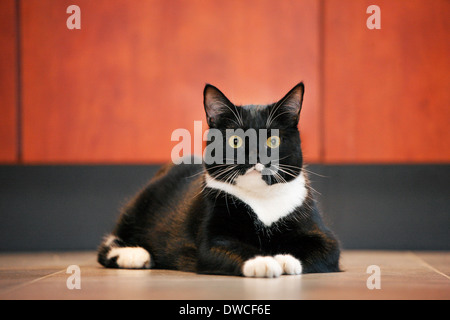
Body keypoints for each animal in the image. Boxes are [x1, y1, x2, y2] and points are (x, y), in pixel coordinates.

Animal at [96, 83, 340, 278]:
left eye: (272, 140)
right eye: (235, 140)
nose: (255, 157)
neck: (261, 199)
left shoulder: (322, 234)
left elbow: (326, 248)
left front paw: (284, 258)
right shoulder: (212, 231)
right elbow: (223, 247)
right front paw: (262, 261)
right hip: (143, 201)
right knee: (108, 243)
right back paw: (134, 254)